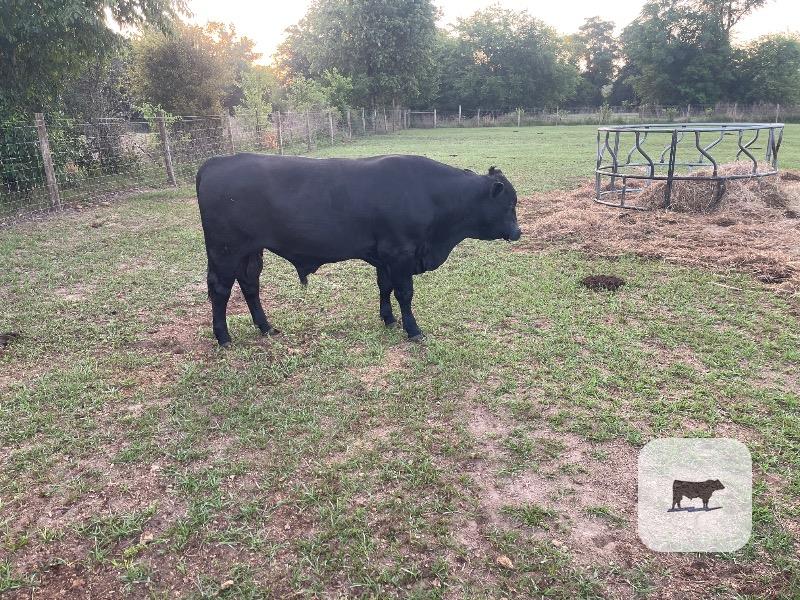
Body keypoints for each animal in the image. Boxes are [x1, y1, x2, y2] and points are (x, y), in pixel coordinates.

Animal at [195, 153, 521, 347]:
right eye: (509, 204)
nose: (518, 232)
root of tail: (216, 162)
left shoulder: (385, 256)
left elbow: (385, 287)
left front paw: (389, 319)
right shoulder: (400, 253)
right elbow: (405, 293)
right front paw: (413, 329)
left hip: (250, 252)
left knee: (250, 284)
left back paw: (266, 327)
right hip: (225, 250)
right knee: (220, 290)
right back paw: (223, 337)